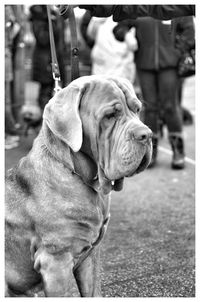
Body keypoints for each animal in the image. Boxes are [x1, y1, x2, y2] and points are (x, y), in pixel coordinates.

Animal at [5, 74, 152, 296]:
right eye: (110, 115)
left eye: (137, 109)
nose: (148, 135)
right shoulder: (55, 263)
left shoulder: (90, 256)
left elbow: (93, 291)